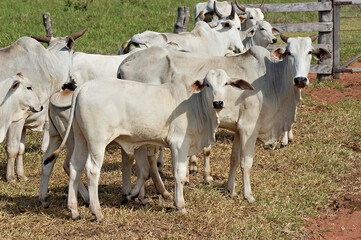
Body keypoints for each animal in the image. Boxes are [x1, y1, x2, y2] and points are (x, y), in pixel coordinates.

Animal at [0, 27, 86, 182]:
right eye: (73, 52)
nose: (73, 80)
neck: (47, 66)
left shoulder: (25, 119)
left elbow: (21, 149)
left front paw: (21, 175)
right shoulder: (16, 119)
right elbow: (12, 148)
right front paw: (11, 178)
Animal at [43, 69, 253, 219]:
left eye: (226, 83)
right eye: (207, 84)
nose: (218, 103)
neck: (196, 105)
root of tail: (81, 88)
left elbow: (147, 171)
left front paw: (132, 196)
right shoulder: (178, 144)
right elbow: (179, 176)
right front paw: (180, 205)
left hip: (80, 139)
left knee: (74, 167)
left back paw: (74, 210)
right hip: (97, 142)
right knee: (91, 170)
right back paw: (97, 211)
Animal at [117, 35, 330, 201]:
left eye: (309, 52)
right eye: (289, 53)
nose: (300, 79)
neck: (271, 79)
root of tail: (126, 61)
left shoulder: (238, 129)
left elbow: (234, 159)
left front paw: (231, 190)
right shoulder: (249, 127)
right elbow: (246, 162)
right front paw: (248, 195)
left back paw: (147, 192)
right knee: (145, 157)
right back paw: (142, 193)